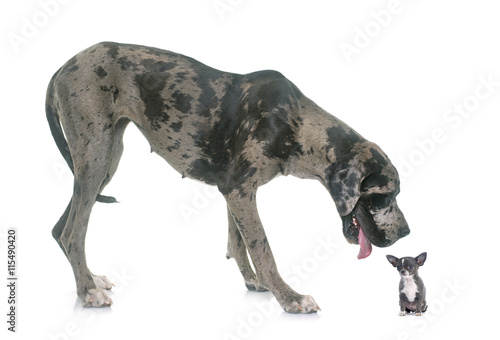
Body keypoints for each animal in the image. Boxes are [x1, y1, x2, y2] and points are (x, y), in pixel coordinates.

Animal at [45, 41, 408, 314]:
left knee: (62, 228)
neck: (293, 121)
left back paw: (89, 279)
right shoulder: (239, 191)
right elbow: (263, 248)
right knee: (73, 233)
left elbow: (238, 242)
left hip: (104, 162)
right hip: (96, 157)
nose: (406, 232)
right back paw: (87, 292)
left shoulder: (234, 192)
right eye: (383, 195)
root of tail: (64, 66)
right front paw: (289, 297)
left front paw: (254, 282)